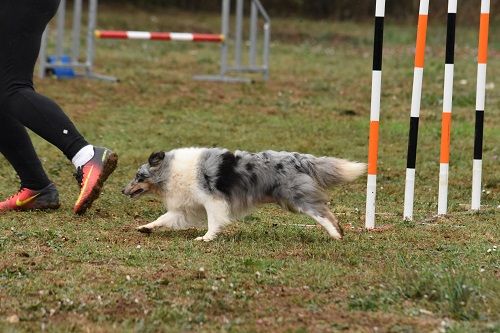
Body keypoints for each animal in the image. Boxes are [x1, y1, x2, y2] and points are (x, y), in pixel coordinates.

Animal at [123, 148, 366, 241]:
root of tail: (298, 157)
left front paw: (206, 238)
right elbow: (163, 218)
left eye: (139, 177)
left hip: (297, 198)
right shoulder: (187, 207)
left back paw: (335, 234)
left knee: (322, 212)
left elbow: (213, 222)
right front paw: (145, 227)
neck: (170, 170)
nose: (122, 190)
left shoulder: (212, 200)